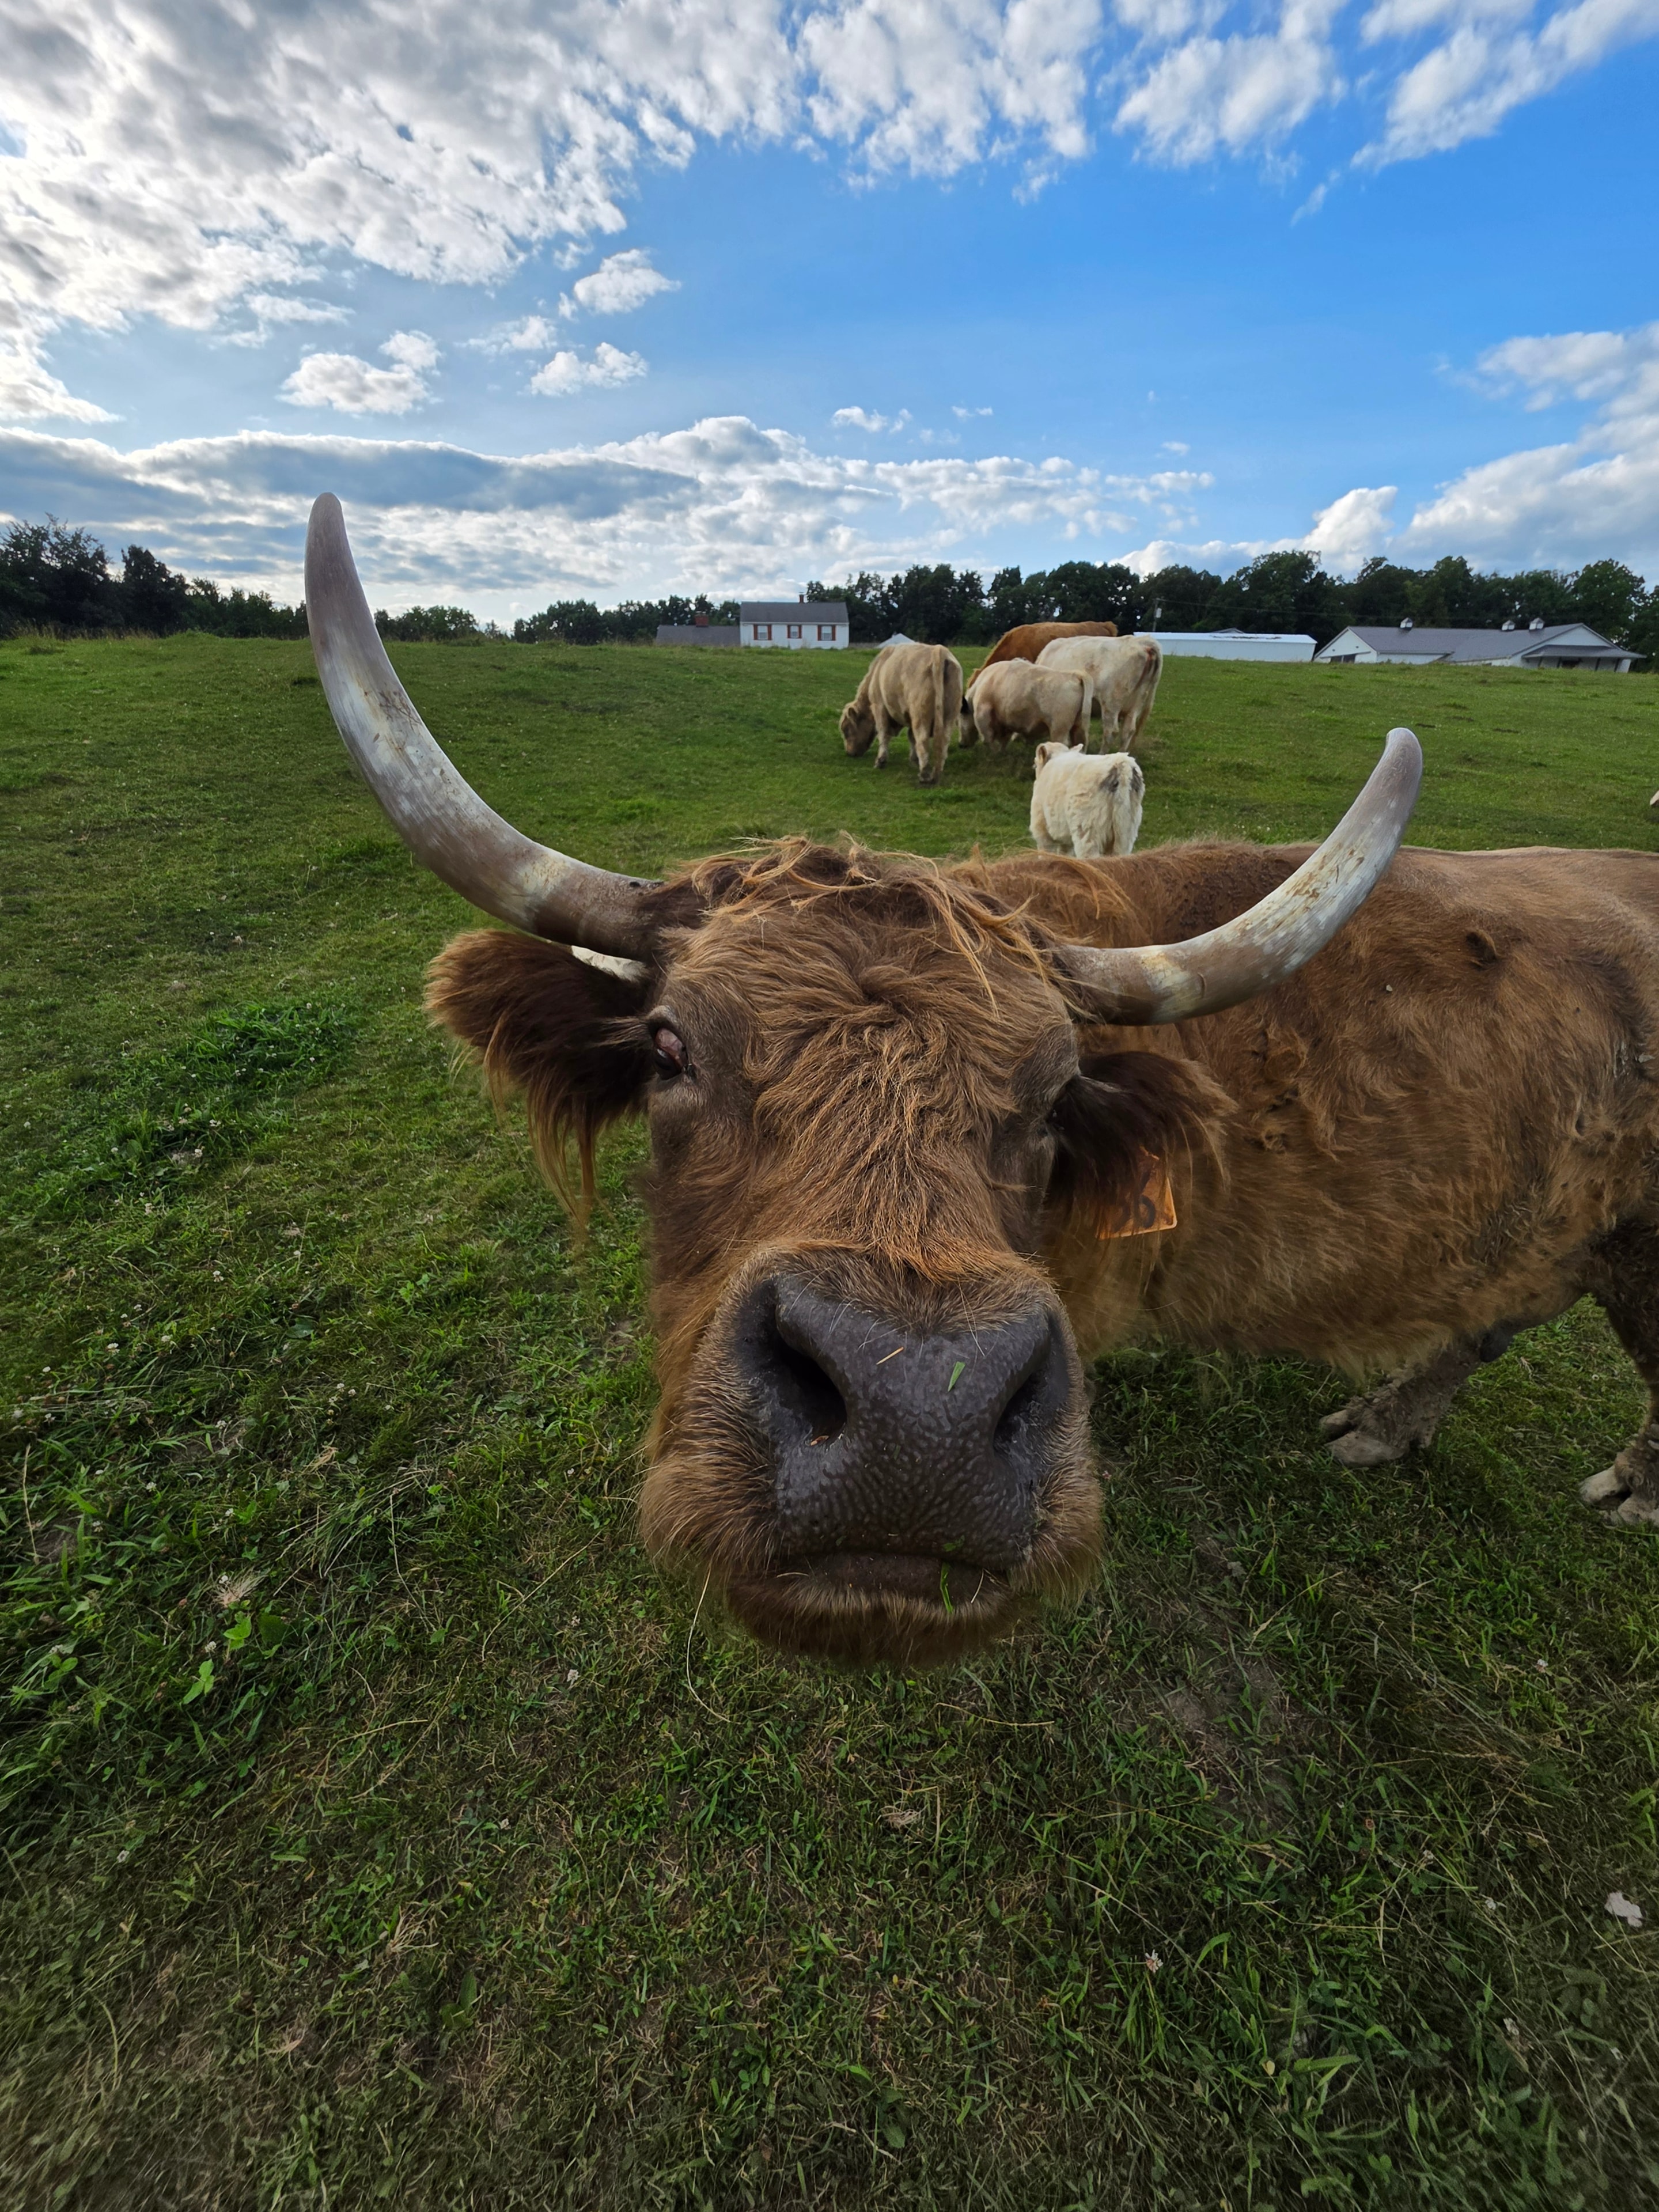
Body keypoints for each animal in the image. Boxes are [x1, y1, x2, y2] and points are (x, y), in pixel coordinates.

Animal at [839, 643, 964, 785]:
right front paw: (914, 760)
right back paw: (936, 775)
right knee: (943, 742)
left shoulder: (879, 707)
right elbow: (911, 737)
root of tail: (939, 651)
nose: (850, 753)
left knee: (922, 740)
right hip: (949, 716)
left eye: (846, 730)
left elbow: (883, 734)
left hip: (920, 716)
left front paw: (880, 761)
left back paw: (924, 775)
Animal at [963, 660, 1092, 755]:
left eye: (961, 716)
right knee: (1081, 742)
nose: (962, 745)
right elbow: (1003, 740)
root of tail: (1074, 675)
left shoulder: (983, 715)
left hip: (1059, 730)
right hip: (1079, 727)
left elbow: (988, 739)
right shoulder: (1006, 721)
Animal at [1037, 635, 1162, 754]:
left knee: (1111, 731)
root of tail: (1142, 641)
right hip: (1136, 705)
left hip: (1111, 704)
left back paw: (1101, 754)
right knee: (1128, 731)